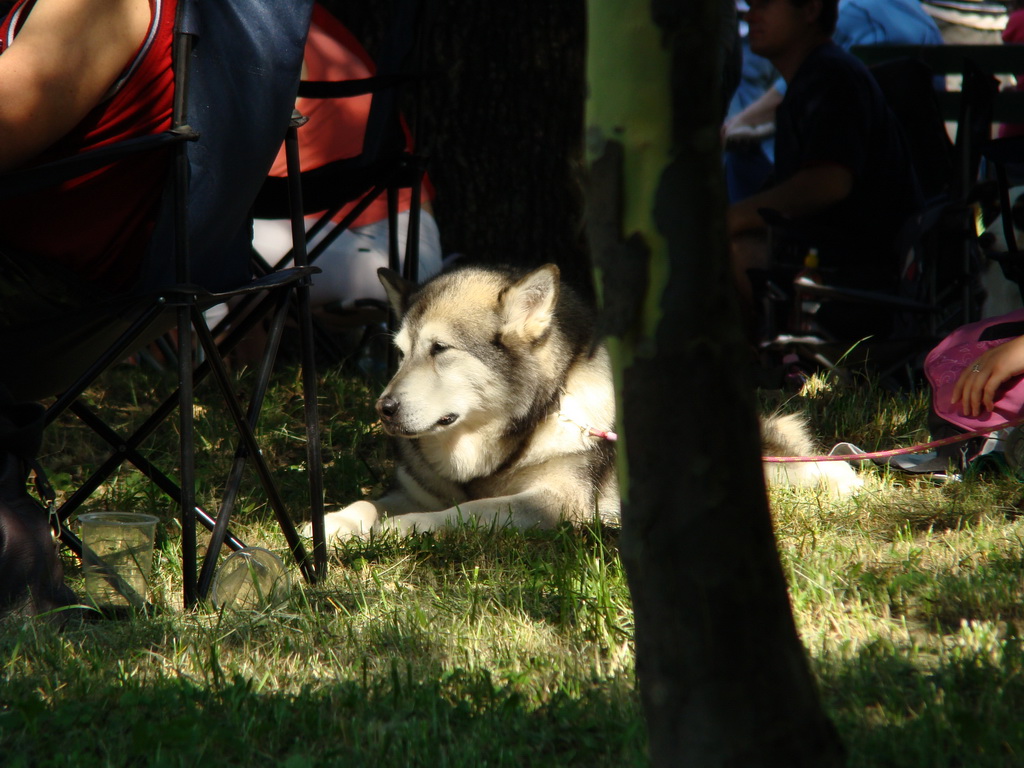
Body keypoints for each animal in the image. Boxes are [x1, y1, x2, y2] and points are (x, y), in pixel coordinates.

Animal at [313, 264, 864, 540]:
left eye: (440, 350)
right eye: (400, 354)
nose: (383, 409)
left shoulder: (551, 505)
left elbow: (458, 514)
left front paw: (394, 531)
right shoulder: (416, 489)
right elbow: (368, 502)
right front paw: (335, 523)